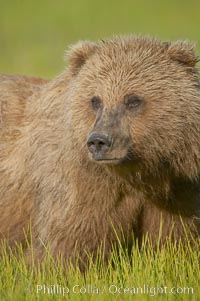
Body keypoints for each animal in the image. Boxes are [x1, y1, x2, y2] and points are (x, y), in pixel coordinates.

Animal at [0, 35, 200, 264]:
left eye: (133, 100)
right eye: (95, 100)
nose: (99, 141)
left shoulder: (177, 187)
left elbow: (174, 241)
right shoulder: (83, 185)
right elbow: (69, 244)